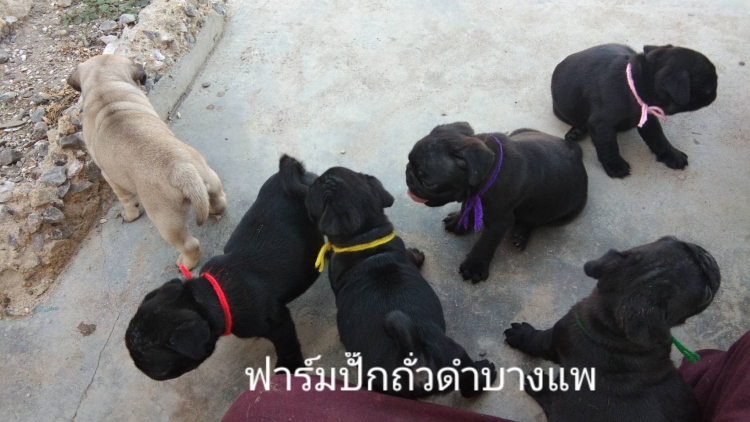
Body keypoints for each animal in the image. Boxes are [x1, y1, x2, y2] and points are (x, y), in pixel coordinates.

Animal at [67, 54, 227, 269]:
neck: (105, 89)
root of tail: (181, 169)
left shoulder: (109, 176)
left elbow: (127, 201)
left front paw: (130, 215)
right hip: (209, 179)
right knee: (218, 201)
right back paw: (213, 209)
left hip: (166, 219)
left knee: (189, 245)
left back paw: (185, 263)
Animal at [125, 155, 323, 380]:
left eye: (160, 370)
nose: (143, 370)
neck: (208, 295)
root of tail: (293, 174)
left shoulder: (280, 326)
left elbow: (287, 347)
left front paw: (289, 369)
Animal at [406, 123, 588, 283]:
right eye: (408, 160)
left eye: (427, 183)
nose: (409, 177)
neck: (489, 173)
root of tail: (577, 152)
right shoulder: (473, 195)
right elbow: (467, 206)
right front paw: (459, 221)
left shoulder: (498, 222)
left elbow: (485, 243)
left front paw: (474, 266)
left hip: (563, 214)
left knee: (535, 221)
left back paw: (522, 233)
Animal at [504, 237, 721, 422]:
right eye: (672, 239)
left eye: (707, 295)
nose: (708, 259)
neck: (610, 329)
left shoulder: (556, 338)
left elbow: (537, 340)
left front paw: (521, 335)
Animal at [551, 44, 717, 178]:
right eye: (709, 89)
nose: (716, 94)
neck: (636, 85)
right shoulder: (602, 125)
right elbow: (608, 145)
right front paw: (615, 164)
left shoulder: (649, 119)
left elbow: (659, 138)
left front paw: (672, 154)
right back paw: (577, 131)